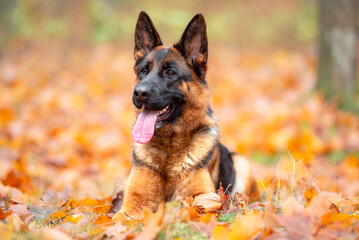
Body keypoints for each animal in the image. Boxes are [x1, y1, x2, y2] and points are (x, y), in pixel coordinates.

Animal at [119, 11, 258, 218]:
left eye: (170, 73)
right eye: (143, 71)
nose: (139, 93)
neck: (169, 150)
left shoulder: (203, 196)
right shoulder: (134, 200)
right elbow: (119, 217)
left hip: (241, 163)